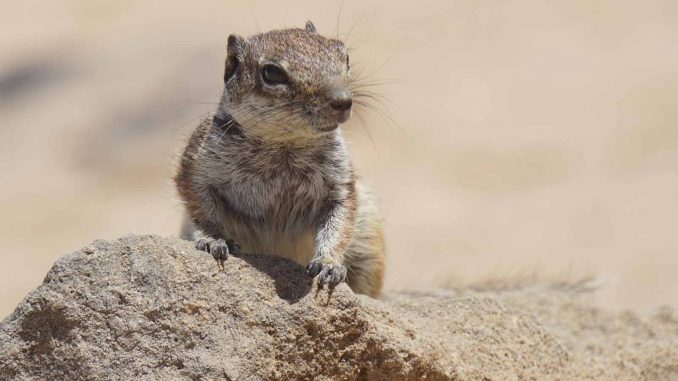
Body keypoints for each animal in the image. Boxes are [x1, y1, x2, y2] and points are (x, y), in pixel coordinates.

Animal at [174, 21, 388, 296]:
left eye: (345, 56)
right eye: (272, 73)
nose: (343, 100)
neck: (285, 145)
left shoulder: (340, 183)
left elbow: (340, 220)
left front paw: (328, 263)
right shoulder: (196, 166)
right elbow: (201, 207)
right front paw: (213, 239)